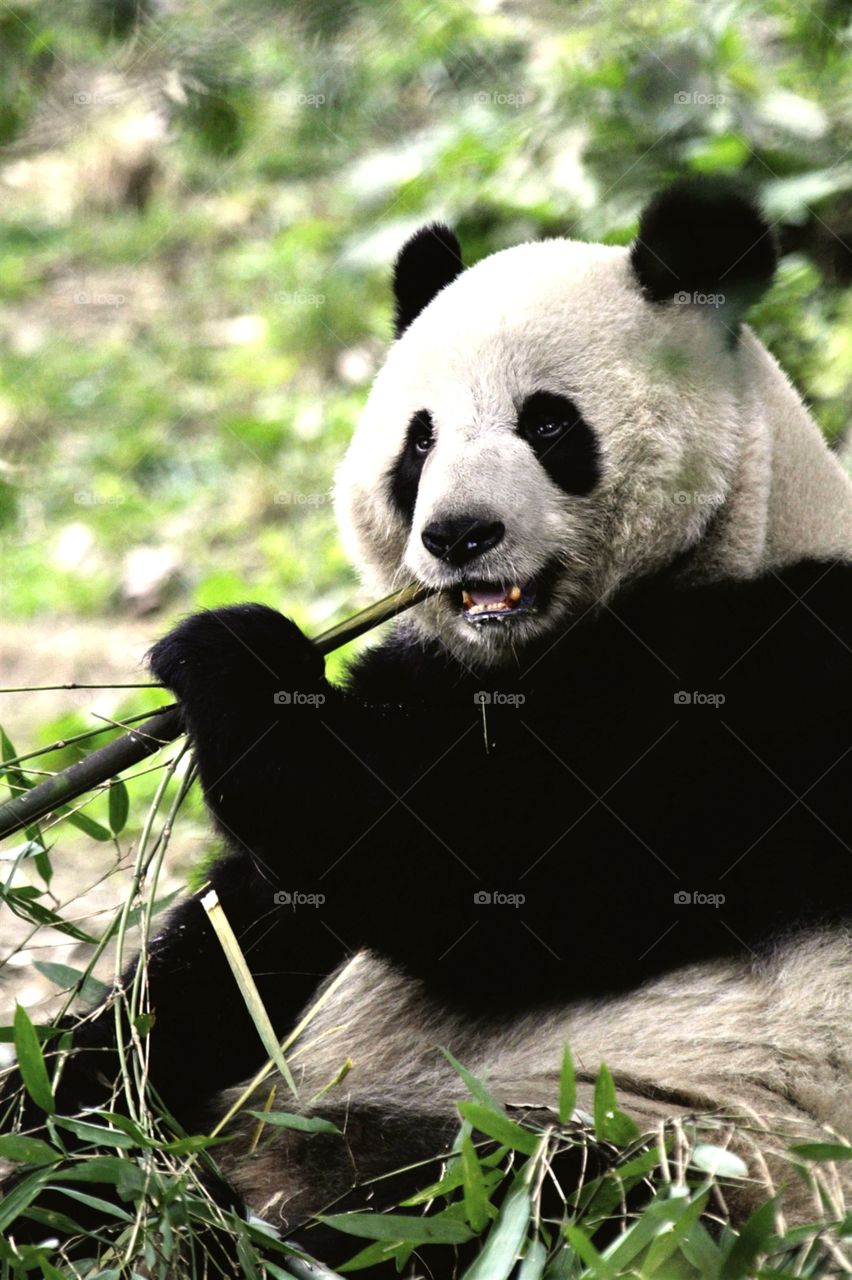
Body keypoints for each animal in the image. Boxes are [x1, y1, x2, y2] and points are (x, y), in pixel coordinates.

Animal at [10, 180, 852, 1275]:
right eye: (420, 440)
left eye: (549, 423)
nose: (459, 535)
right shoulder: (430, 681)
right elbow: (246, 938)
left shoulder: (778, 675)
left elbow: (493, 871)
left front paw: (235, 654)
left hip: (686, 1141)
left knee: (456, 1191)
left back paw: (217, 1211)